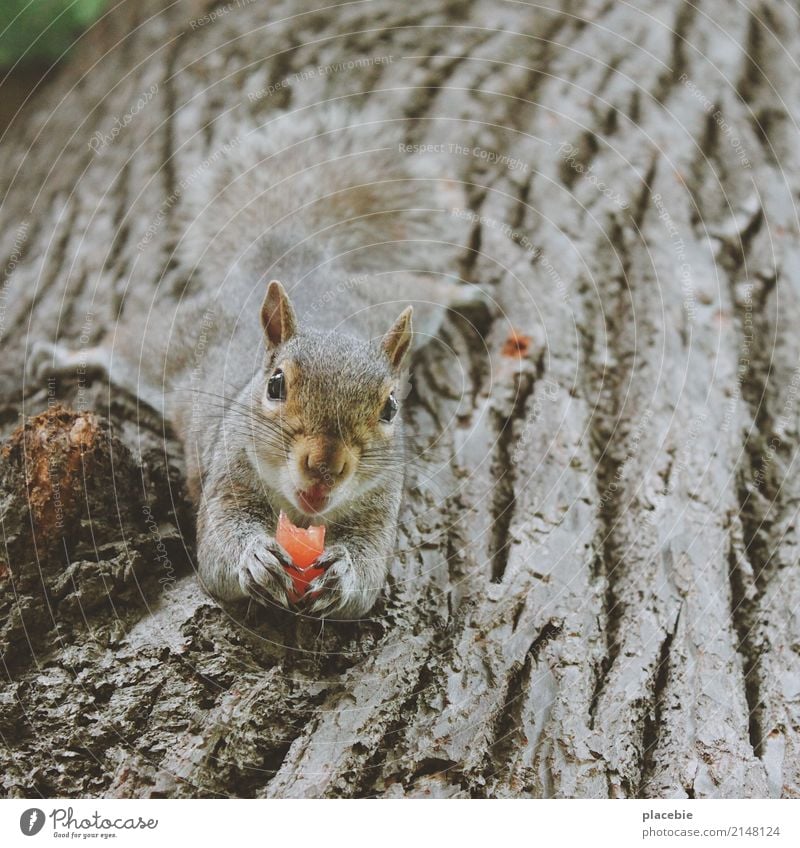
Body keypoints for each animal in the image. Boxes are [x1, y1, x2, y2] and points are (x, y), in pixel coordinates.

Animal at [31, 109, 478, 620]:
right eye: (275, 385)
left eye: (390, 409)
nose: (324, 468)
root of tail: (290, 251)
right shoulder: (227, 477)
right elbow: (220, 548)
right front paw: (254, 558)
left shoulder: (381, 506)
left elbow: (367, 570)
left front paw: (344, 575)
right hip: (168, 342)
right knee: (121, 344)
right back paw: (65, 355)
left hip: (391, 295)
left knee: (425, 289)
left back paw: (465, 293)